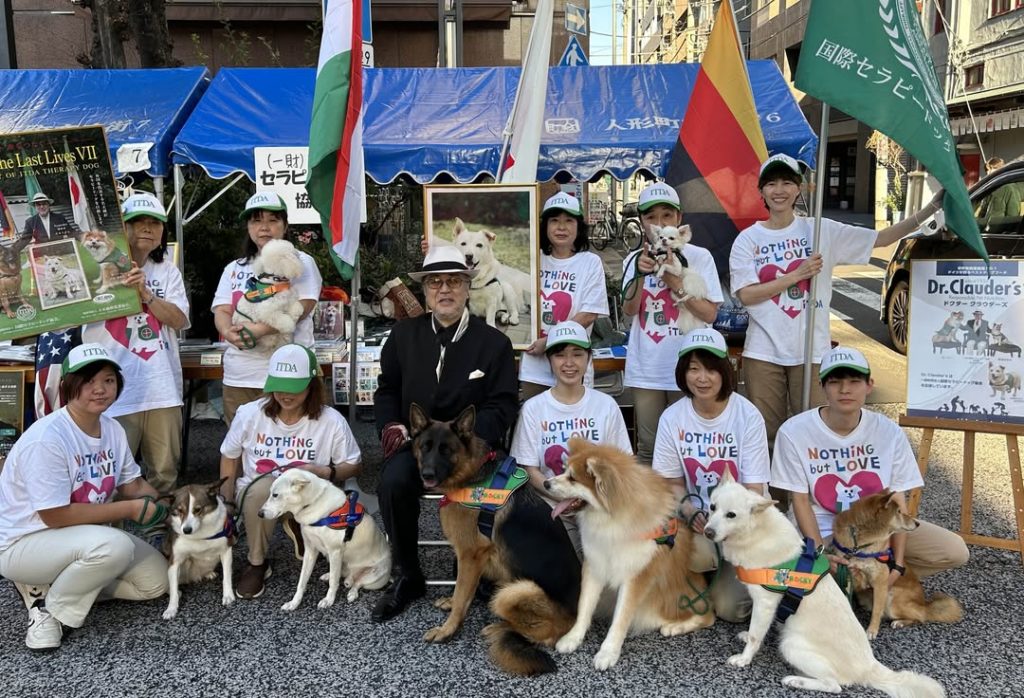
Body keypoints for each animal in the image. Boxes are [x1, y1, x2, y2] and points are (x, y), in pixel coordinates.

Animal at [160, 474, 236, 618]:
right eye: (179, 511)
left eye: (198, 509)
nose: (186, 530)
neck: (200, 534)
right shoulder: (174, 562)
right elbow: (173, 590)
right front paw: (171, 608)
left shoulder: (226, 550)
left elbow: (227, 576)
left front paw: (228, 595)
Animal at [260, 466, 391, 609]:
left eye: (275, 495)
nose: (259, 514)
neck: (313, 503)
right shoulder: (310, 550)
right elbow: (302, 581)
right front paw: (294, 603)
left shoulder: (335, 551)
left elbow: (333, 582)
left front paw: (328, 600)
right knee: (342, 575)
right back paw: (331, 576)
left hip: (374, 577)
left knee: (357, 584)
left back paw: (352, 593)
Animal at [409, 403, 585, 675]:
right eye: (424, 447)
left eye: (446, 450)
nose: (426, 474)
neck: (472, 473)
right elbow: (461, 590)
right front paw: (451, 603)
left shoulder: (471, 555)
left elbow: (462, 593)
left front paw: (448, 629)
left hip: (513, 591)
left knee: (544, 635)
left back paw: (499, 627)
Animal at [544, 433, 712, 667]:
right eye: (564, 470)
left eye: (572, 478)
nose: (545, 483)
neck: (611, 520)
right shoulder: (594, 564)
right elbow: (584, 606)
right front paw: (573, 637)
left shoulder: (636, 575)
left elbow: (621, 618)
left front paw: (608, 652)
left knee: (708, 615)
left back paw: (675, 626)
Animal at [827, 487, 962, 638]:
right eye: (898, 512)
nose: (917, 523)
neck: (859, 545)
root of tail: (924, 604)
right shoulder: (848, 572)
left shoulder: (881, 581)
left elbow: (876, 611)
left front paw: (872, 630)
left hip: (892, 599)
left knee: (920, 617)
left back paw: (900, 622)